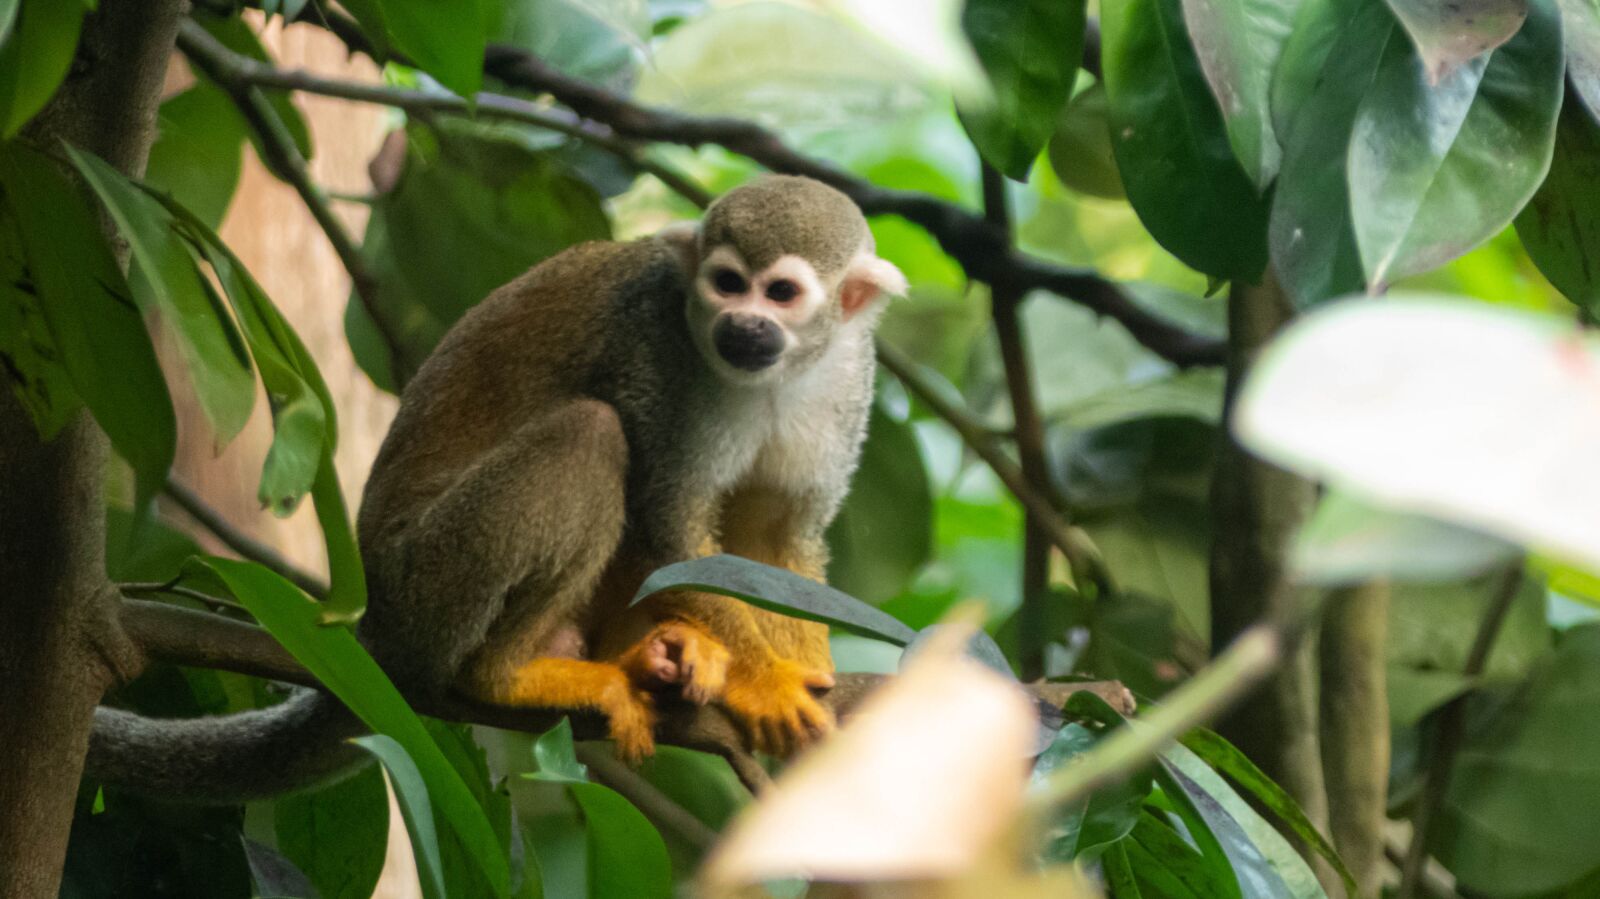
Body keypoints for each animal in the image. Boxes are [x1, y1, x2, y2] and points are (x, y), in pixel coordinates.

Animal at [87, 175, 908, 798]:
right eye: (729, 285)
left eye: (781, 293)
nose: (742, 325)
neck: (781, 374)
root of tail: (374, 625)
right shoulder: (660, 357)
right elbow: (671, 528)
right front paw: (769, 683)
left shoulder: (848, 381)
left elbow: (778, 537)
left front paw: (807, 690)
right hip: (430, 584)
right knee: (591, 436)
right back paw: (508, 678)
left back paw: (662, 654)